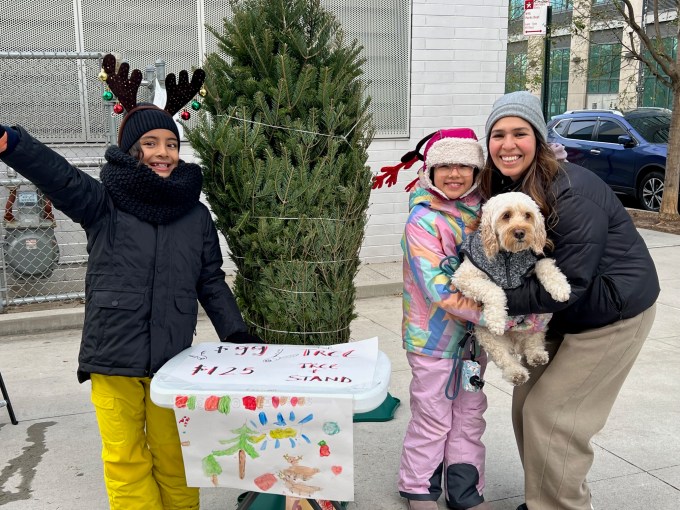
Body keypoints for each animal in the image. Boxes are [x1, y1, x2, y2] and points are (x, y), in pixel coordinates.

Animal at [454, 193, 572, 384]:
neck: (508, 255)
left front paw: (560, 287)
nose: (520, 232)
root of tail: (515, 340)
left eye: (527, 215)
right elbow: (494, 290)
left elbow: (546, 265)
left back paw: (537, 355)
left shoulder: (536, 261)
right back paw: (516, 373)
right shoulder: (464, 276)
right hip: (486, 335)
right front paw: (497, 319)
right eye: (506, 215)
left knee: (535, 338)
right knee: (503, 357)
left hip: (542, 316)